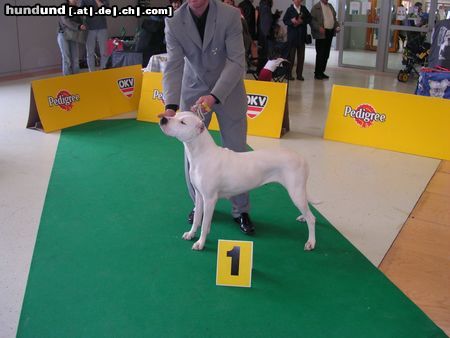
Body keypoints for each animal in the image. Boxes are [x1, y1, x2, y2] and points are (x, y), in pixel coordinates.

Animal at [159, 111, 316, 251]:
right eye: (175, 115)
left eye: (182, 122)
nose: (163, 119)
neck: (202, 154)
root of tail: (302, 158)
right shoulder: (199, 195)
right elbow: (198, 218)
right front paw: (191, 234)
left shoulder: (210, 199)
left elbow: (204, 224)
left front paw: (200, 243)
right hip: (298, 192)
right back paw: (303, 217)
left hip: (296, 192)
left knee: (312, 218)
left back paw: (311, 242)